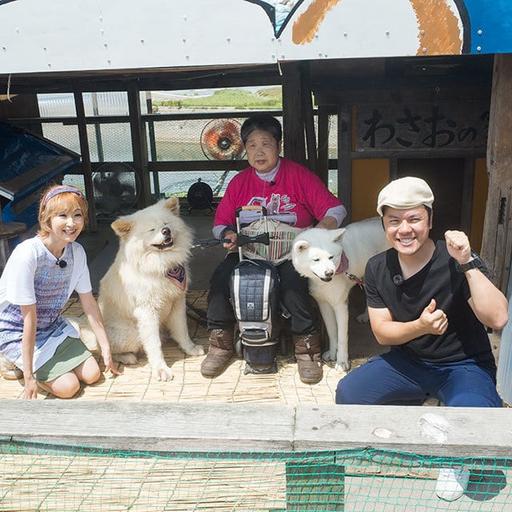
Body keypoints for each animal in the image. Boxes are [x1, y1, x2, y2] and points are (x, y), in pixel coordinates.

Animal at [79, 196, 203, 380]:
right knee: (105, 351)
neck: (161, 265)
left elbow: (182, 330)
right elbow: (154, 344)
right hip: (131, 334)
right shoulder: (147, 311)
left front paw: (190, 349)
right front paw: (161, 369)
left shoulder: (177, 302)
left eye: (166, 223)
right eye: (152, 229)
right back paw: (127, 357)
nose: (166, 231)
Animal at [292, 217, 388, 372]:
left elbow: (342, 337)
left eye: (331, 257)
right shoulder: (324, 304)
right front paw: (332, 353)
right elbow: (332, 332)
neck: (324, 282)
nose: (329, 273)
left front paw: (342, 362)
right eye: (316, 259)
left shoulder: (340, 306)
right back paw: (366, 316)